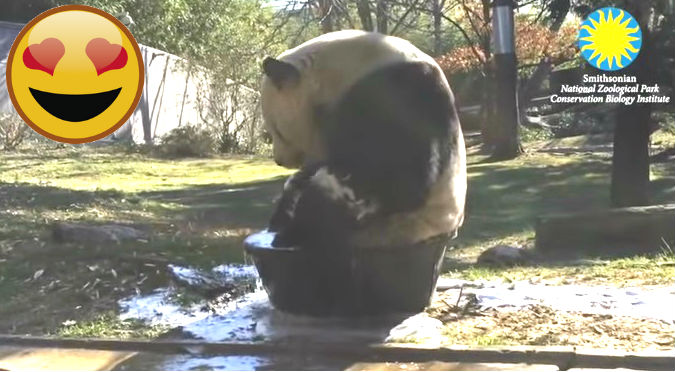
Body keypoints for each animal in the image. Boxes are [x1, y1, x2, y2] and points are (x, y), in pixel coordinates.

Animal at [262, 30, 468, 251]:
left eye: (277, 131)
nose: (279, 160)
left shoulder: (397, 92)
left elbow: (405, 177)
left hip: (403, 222)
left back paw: (292, 233)